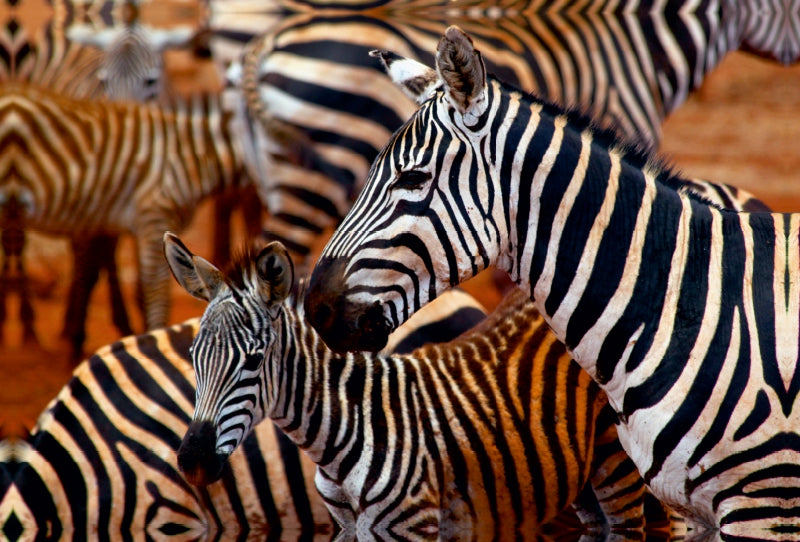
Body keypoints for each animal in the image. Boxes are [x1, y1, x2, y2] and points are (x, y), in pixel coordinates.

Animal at [162, 231, 674, 540]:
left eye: (252, 361)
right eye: (194, 358)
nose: (191, 462)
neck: (342, 433)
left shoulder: (414, 524)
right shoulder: (347, 526)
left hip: (616, 462)